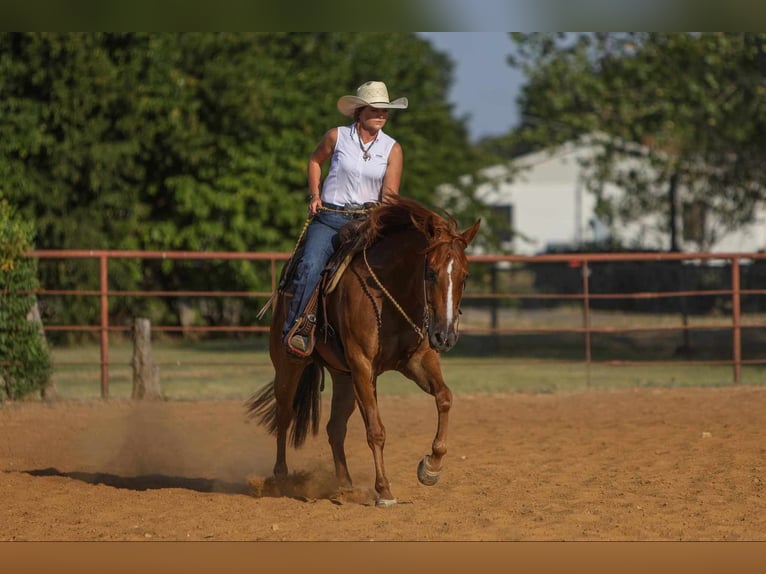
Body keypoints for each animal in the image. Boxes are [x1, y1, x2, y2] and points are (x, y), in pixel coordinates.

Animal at [249, 197, 484, 508]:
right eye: (431, 272)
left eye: (465, 276)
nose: (445, 336)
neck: (389, 291)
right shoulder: (363, 365)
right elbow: (376, 430)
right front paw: (384, 490)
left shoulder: (417, 360)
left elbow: (444, 397)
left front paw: (431, 468)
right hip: (289, 365)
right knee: (284, 415)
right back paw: (281, 478)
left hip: (344, 377)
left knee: (335, 428)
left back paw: (345, 485)